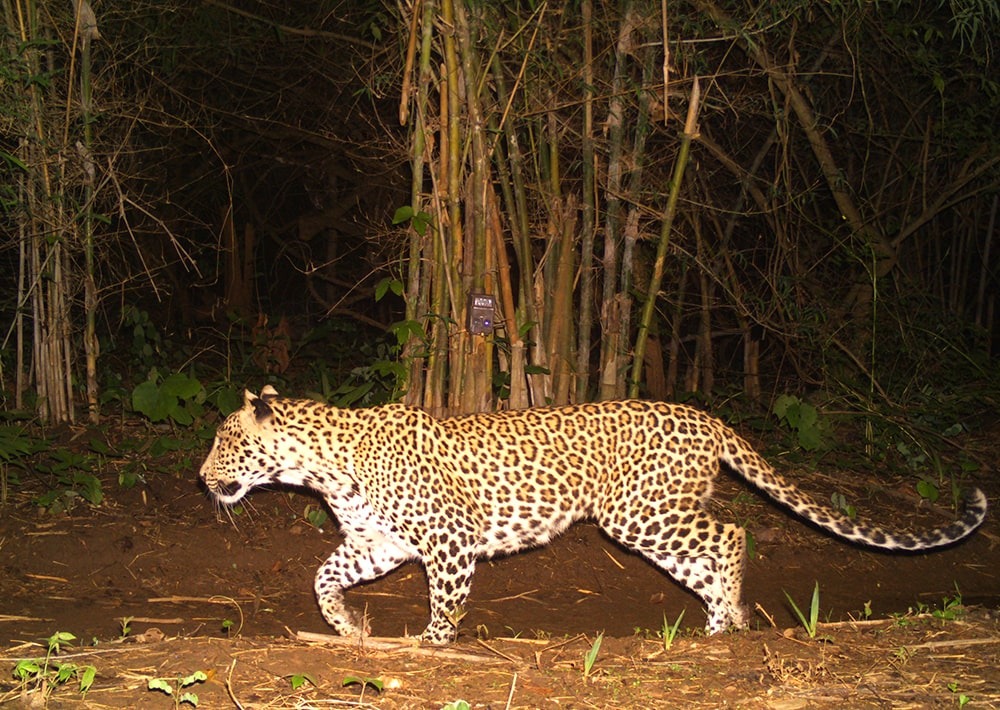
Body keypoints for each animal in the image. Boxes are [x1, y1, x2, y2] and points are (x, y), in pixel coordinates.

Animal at [199, 390, 988, 644]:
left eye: (226, 441)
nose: (202, 478)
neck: (321, 465)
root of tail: (706, 417)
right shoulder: (377, 541)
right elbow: (322, 578)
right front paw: (350, 628)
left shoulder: (448, 540)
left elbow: (445, 603)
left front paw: (431, 646)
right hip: (656, 523)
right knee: (707, 559)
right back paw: (717, 628)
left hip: (642, 514)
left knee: (732, 534)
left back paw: (727, 622)